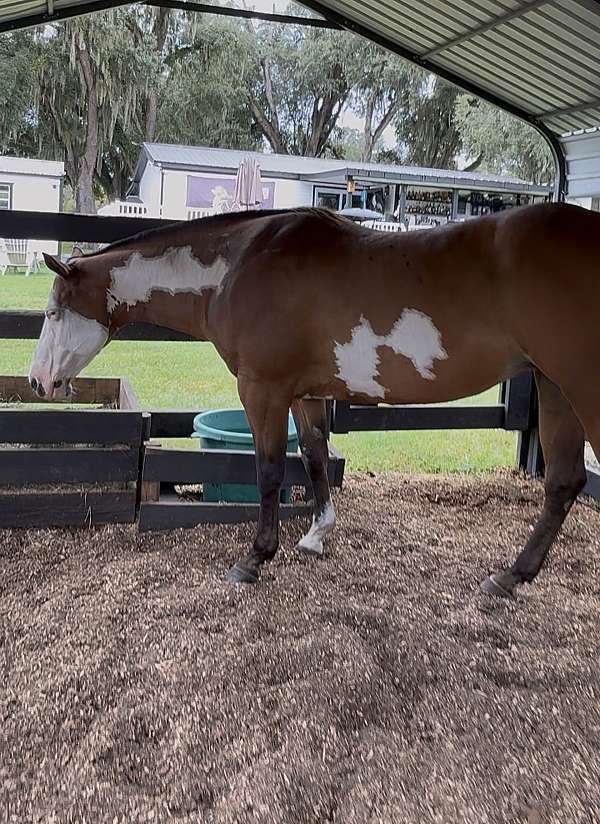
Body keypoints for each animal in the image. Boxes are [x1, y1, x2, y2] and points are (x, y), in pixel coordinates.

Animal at [30, 202, 599, 595]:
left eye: (54, 312)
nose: (40, 383)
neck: (238, 268)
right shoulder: (303, 393)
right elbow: (315, 457)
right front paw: (316, 535)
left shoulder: (262, 388)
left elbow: (269, 470)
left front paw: (255, 558)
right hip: (555, 388)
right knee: (564, 482)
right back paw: (510, 577)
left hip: (581, 389)